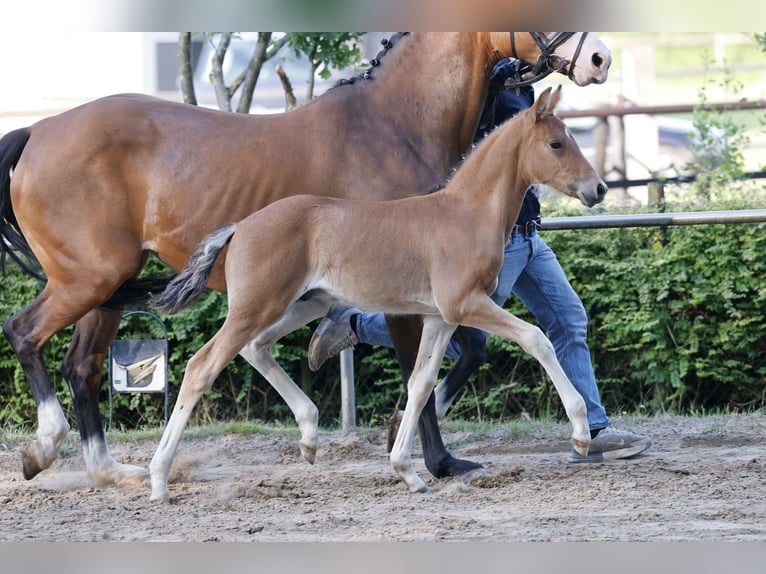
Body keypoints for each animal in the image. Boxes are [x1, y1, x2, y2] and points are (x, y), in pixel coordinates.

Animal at [0, 33, 611, 489]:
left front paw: (416, 464)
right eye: (557, 144)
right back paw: (92, 458)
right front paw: (451, 460)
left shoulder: (441, 311)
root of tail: (36, 130)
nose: (600, 59)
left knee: (89, 364)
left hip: (144, 291)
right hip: (99, 281)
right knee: (41, 336)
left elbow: (424, 379)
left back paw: (117, 470)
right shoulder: (449, 304)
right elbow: (526, 342)